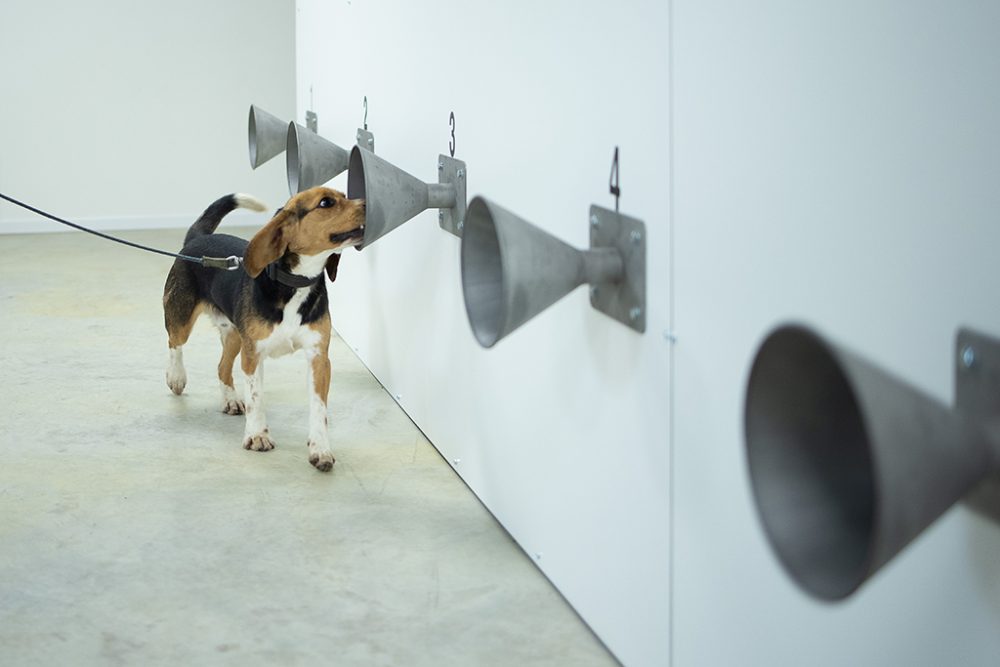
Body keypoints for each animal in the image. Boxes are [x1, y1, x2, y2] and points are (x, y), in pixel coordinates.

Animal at [162, 185, 366, 472]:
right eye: (326, 203)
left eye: (345, 195)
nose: (368, 203)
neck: (295, 284)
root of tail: (197, 238)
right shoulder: (253, 355)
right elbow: (256, 399)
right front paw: (257, 436)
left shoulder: (318, 357)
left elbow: (318, 408)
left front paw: (321, 449)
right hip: (181, 316)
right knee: (175, 344)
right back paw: (177, 377)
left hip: (235, 335)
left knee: (222, 367)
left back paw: (230, 399)